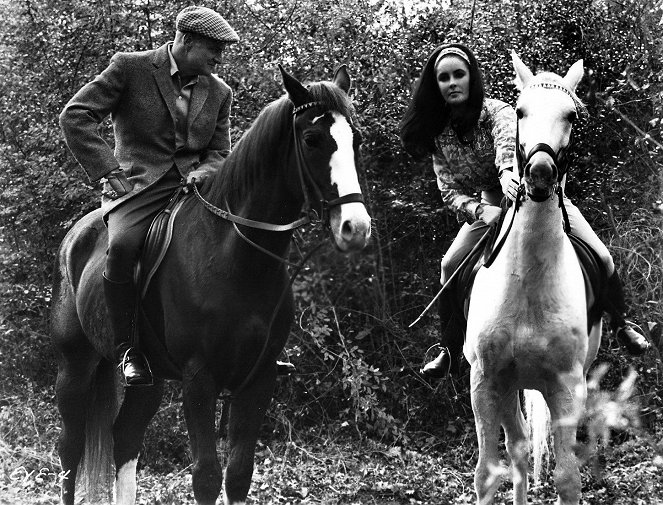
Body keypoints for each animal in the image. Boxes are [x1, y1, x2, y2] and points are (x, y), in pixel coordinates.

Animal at [50, 67, 374, 504]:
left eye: (356, 139)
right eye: (312, 139)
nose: (355, 227)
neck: (237, 257)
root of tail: (75, 236)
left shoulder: (259, 379)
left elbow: (238, 474)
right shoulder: (199, 380)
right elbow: (205, 475)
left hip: (149, 381)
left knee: (125, 438)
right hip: (75, 365)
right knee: (70, 448)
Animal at [466, 52, 600, 504]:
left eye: (571, 116)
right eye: (521, 111)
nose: (540, 173)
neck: (527, 282)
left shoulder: (567, 388)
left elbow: (568, 478)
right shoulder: (485, 382)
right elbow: (487, 473)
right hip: (508, 387)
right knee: (519, 448)